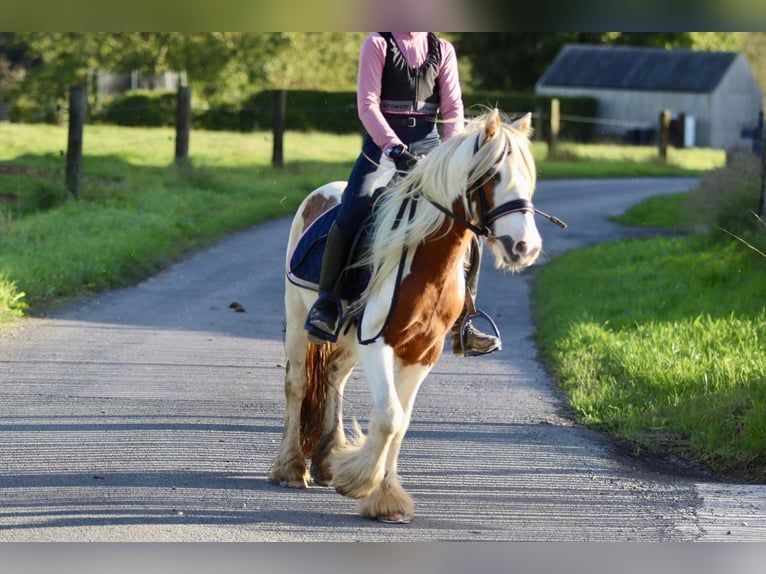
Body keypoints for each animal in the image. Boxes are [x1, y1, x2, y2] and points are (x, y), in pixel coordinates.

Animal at [270, 109, 544, 528]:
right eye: (494, 176)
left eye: (529, 177)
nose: (525, 247)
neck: (425, 256)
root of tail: (321, 194)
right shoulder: (377, 343)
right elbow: (389, 417)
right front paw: (361, 483)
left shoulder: (421, 352)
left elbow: (401, 423)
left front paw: (385, 498)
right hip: (300, 321)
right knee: (297, 384)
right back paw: (290, 468)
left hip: (349, 342)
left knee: (333, 377)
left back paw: (328, 461)